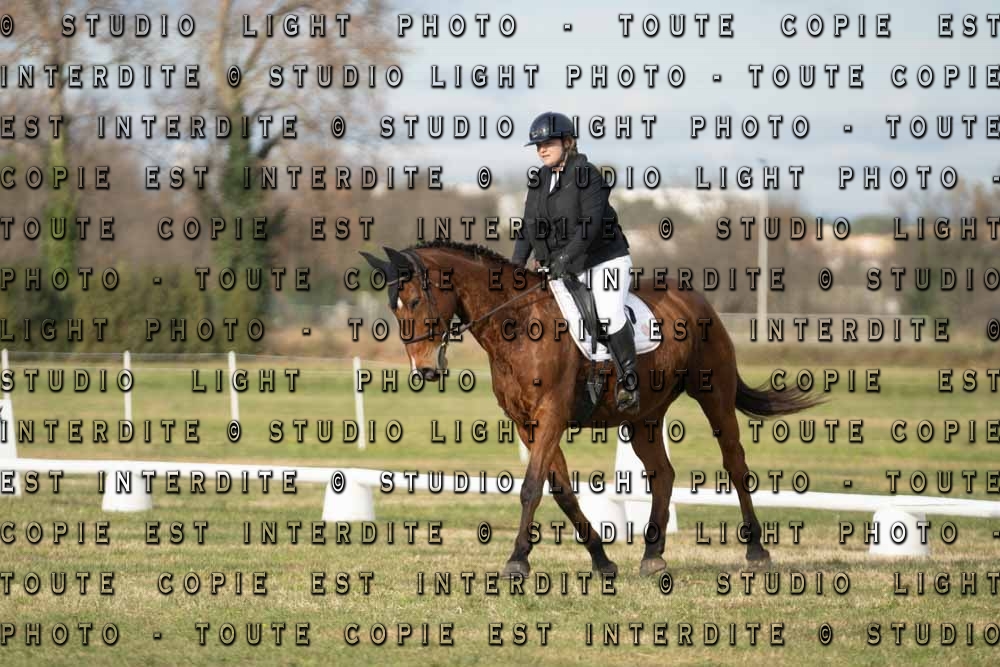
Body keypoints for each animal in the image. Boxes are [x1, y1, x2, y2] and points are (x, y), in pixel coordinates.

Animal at [359, 240, 823, 579]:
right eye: (393, 307)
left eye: (414, 301)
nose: (424, 369)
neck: (516, 324)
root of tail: (696, 299)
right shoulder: (529, 425)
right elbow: (561, 490)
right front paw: (602, 559)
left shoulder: (552, 416)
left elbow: (531, 487)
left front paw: (517, 561)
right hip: (643, 417)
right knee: (663, 474)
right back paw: (652, 554)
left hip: (715, 397)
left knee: (735, 465)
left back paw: (756, 550)